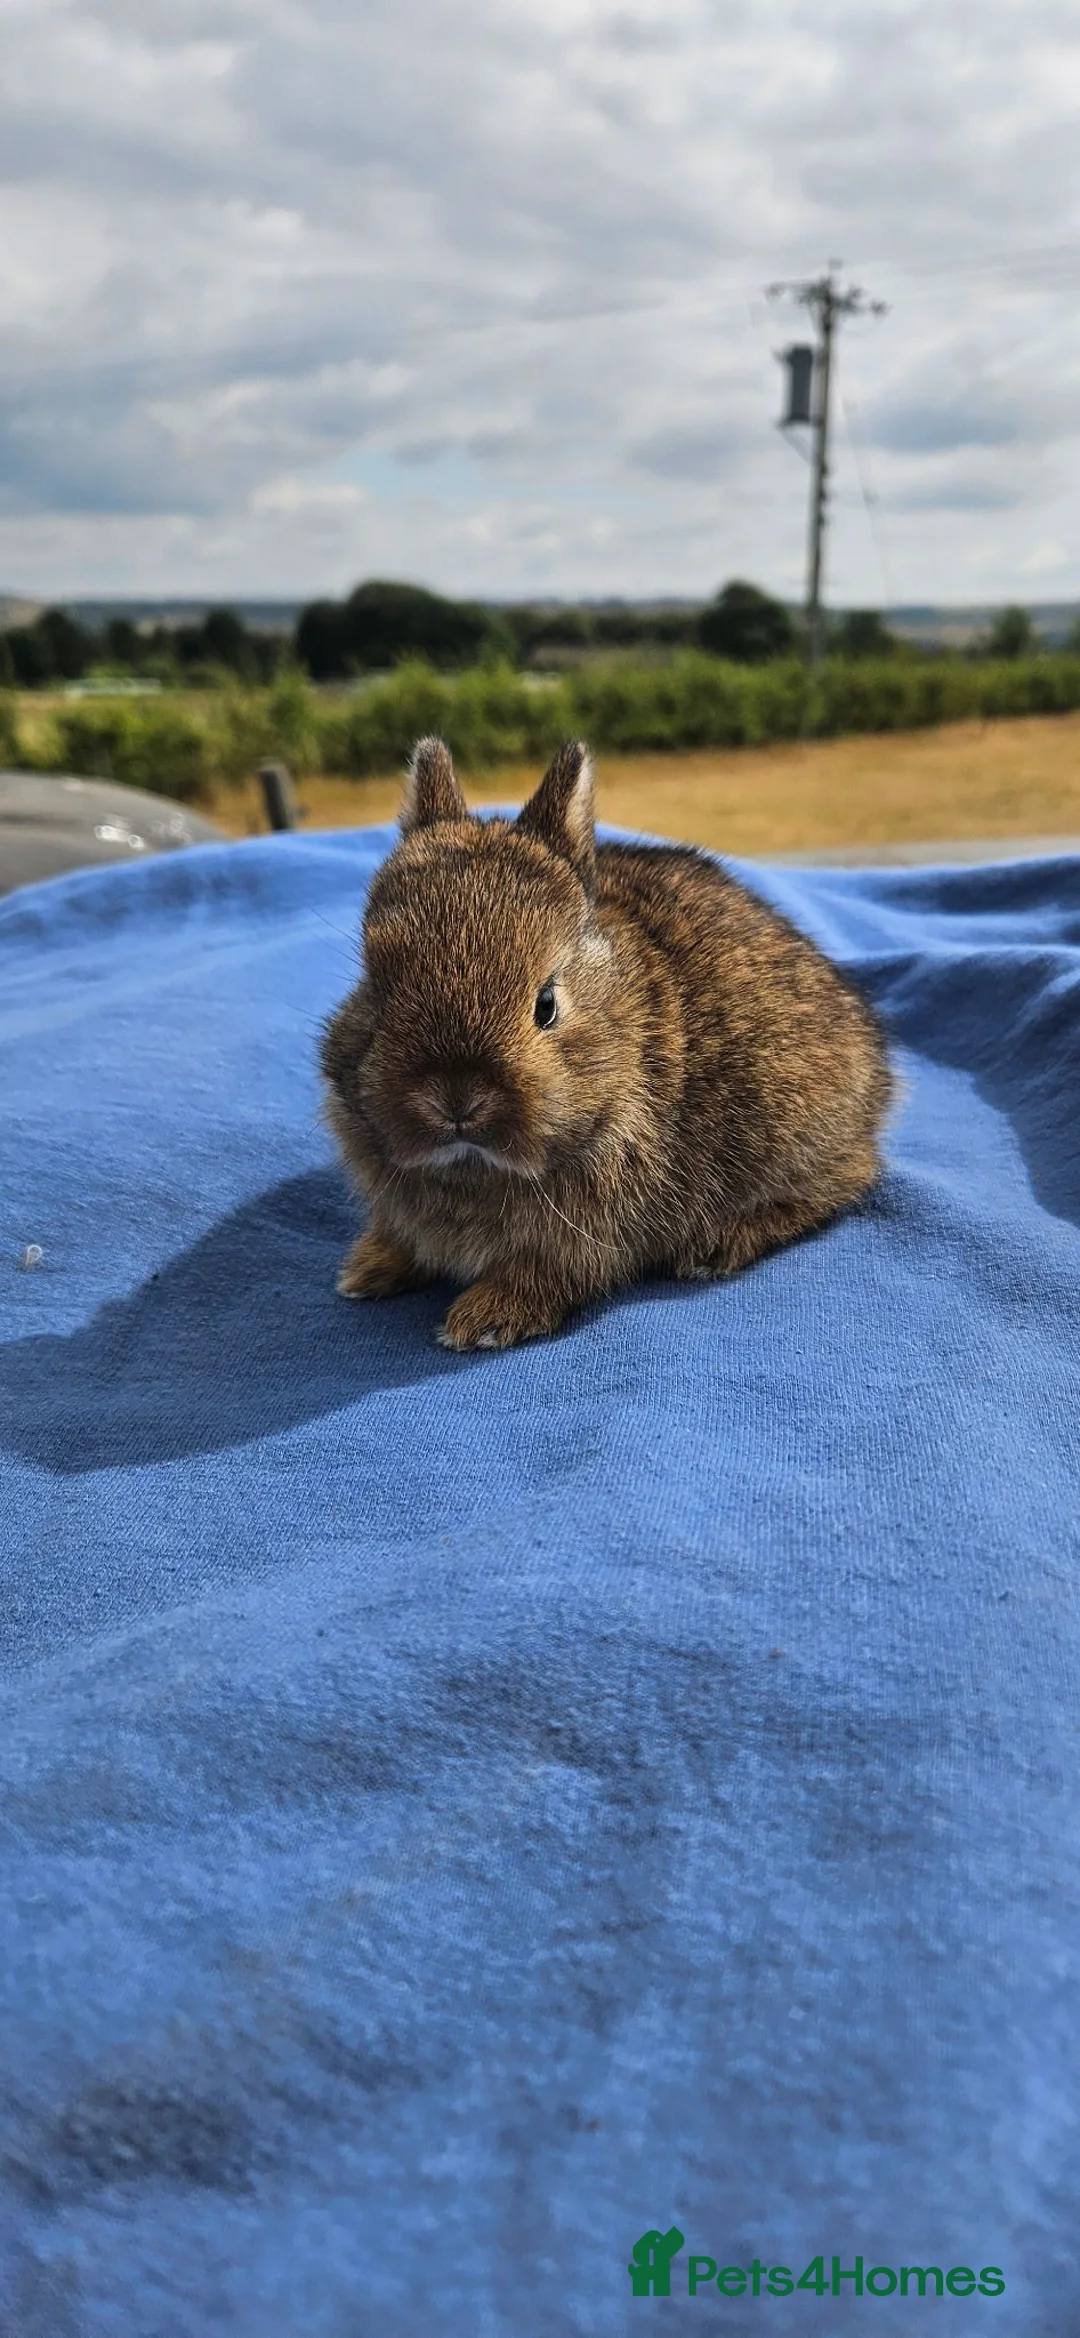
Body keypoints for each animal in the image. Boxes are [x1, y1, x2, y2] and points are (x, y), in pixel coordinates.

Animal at [321, 736, 892, 1351]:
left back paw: (714, 1246)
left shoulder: (587, 1237)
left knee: (846, 1180)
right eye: (375, 988)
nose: (456, 1100)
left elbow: (545, 1274)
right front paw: (367, 1270)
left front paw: (483, 1322)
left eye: (546, 1004)